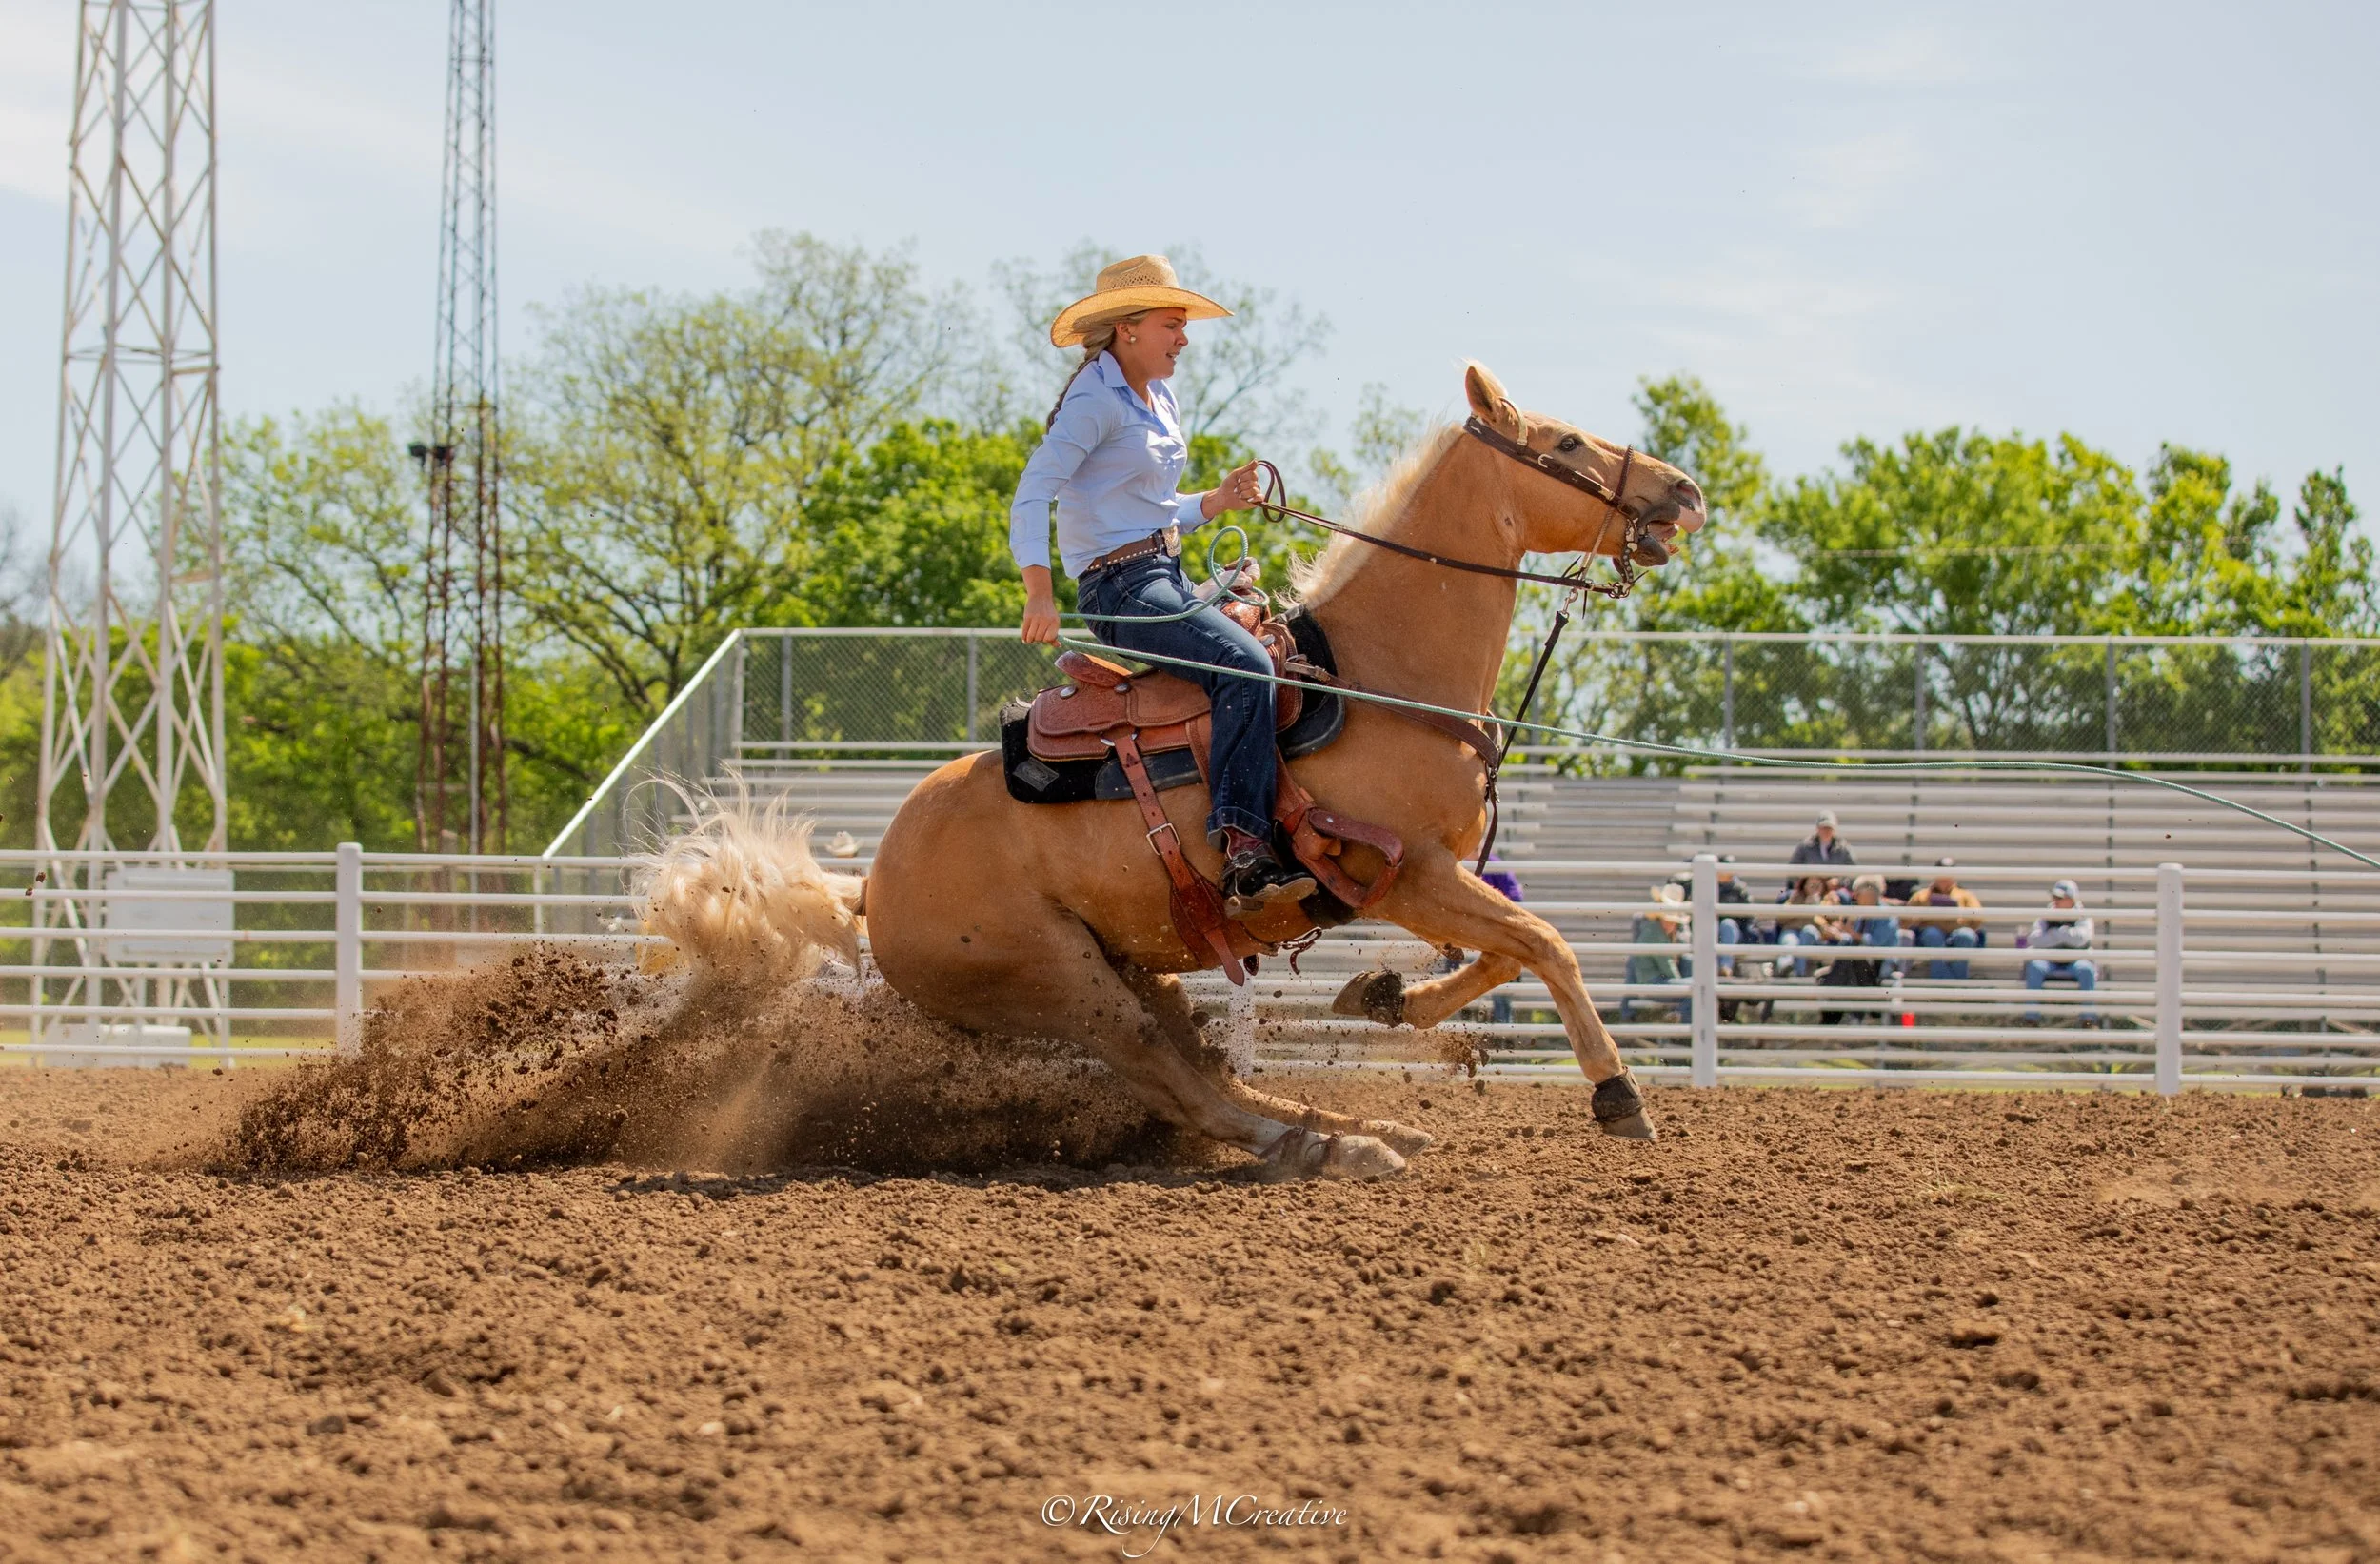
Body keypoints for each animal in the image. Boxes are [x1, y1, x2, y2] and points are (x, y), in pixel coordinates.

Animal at [642, 363, 1708, 1178]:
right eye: (1566, 442)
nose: (1685, 491)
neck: (1377, 675)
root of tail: (871, 883)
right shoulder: (1403, 874)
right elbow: (1547, 944)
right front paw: (1619, 1096)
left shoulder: (1431, 881)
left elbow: (1506, 952)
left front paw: (1384, 997)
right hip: (1067, 982)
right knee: (1182, 1084)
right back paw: (1335, 1148)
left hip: (1128, 963)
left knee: (1209, 1074)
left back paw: (1366, 1128)